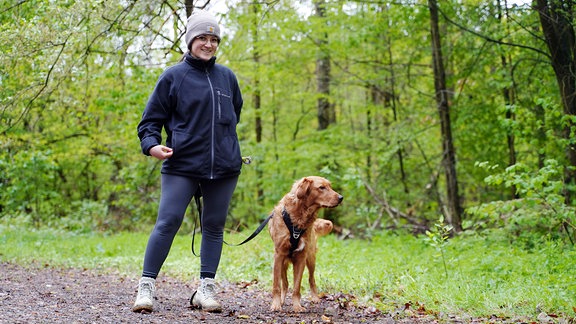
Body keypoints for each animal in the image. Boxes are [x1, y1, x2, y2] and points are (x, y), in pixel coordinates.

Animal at [266, 176, 342, 312]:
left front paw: (297, 306)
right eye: (321, 187)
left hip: (311, 259)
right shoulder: (279, 255)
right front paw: (276, 304)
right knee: (285, 283)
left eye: (330, 186)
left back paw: (315, 298)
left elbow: (297, 286)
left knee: (311, 279)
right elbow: (276, 285)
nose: (341, 197)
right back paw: (282, 300)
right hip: (283, 263)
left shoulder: (301, 257)